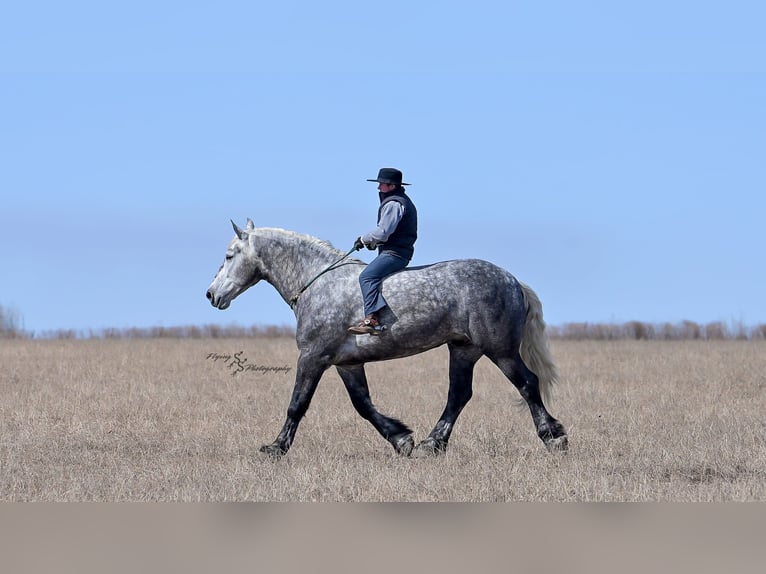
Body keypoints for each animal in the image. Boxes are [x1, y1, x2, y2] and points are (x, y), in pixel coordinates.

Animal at [206, 219, 568, 459]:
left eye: (229, 255)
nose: (211, 295)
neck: (320, 283)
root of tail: (512, 280)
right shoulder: (347, 363)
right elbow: (363, 405)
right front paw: (401, 439)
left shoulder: (312, 357)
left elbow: (297, 404)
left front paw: (276, 447)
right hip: (464, 350)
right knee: (459, 395)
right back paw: (431, 444)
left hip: (500, 350)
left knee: (527, 384)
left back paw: (554, 437)